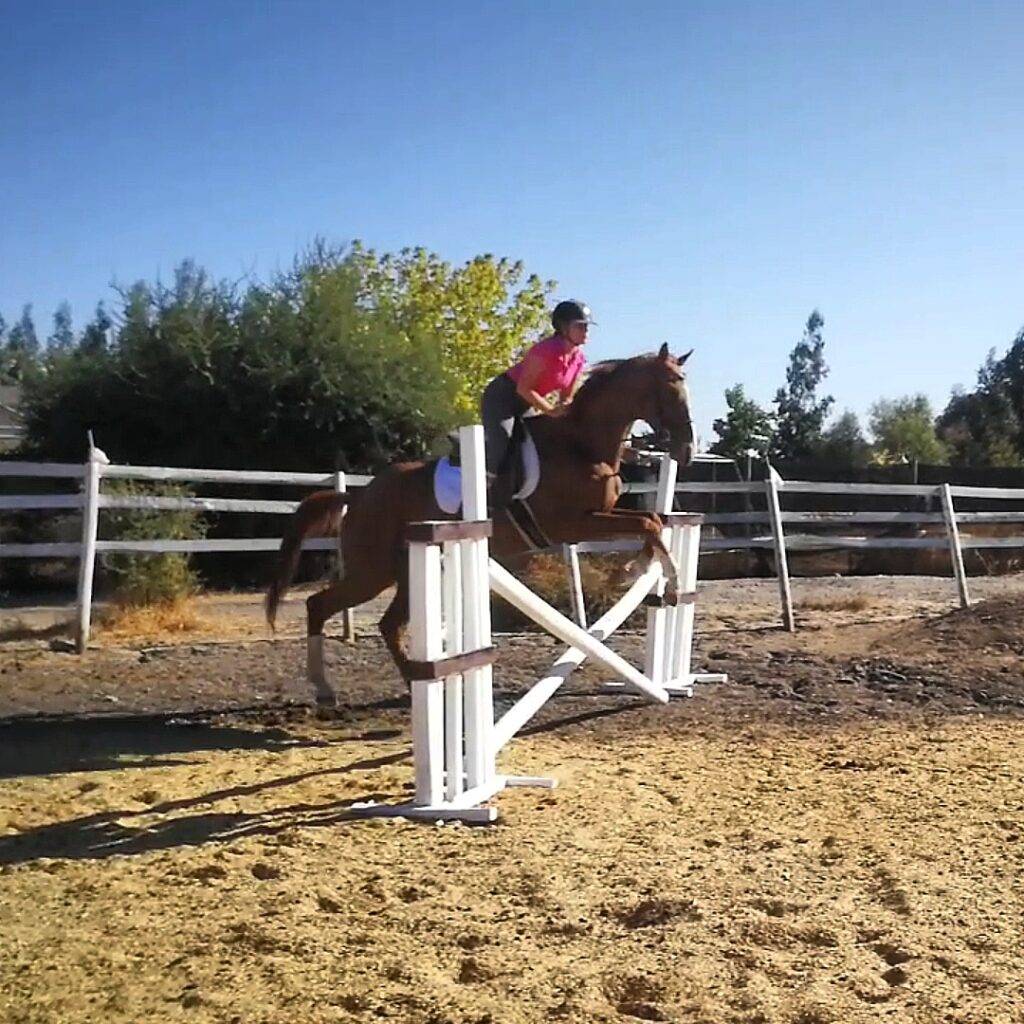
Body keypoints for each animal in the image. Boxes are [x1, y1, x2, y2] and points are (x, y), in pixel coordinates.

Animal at [266, 344, 695, 700]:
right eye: (670, 388)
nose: (686, 450)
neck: (582, 446)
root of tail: (360, 496)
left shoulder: (597, 518)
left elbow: (651, 520)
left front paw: (637, 568)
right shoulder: (572, 525)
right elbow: (648, 524)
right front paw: (654, 576)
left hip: (402, 570)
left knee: (389, 625)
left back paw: (414, 683)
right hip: (373, 571)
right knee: (319, 605)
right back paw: (324, 690)